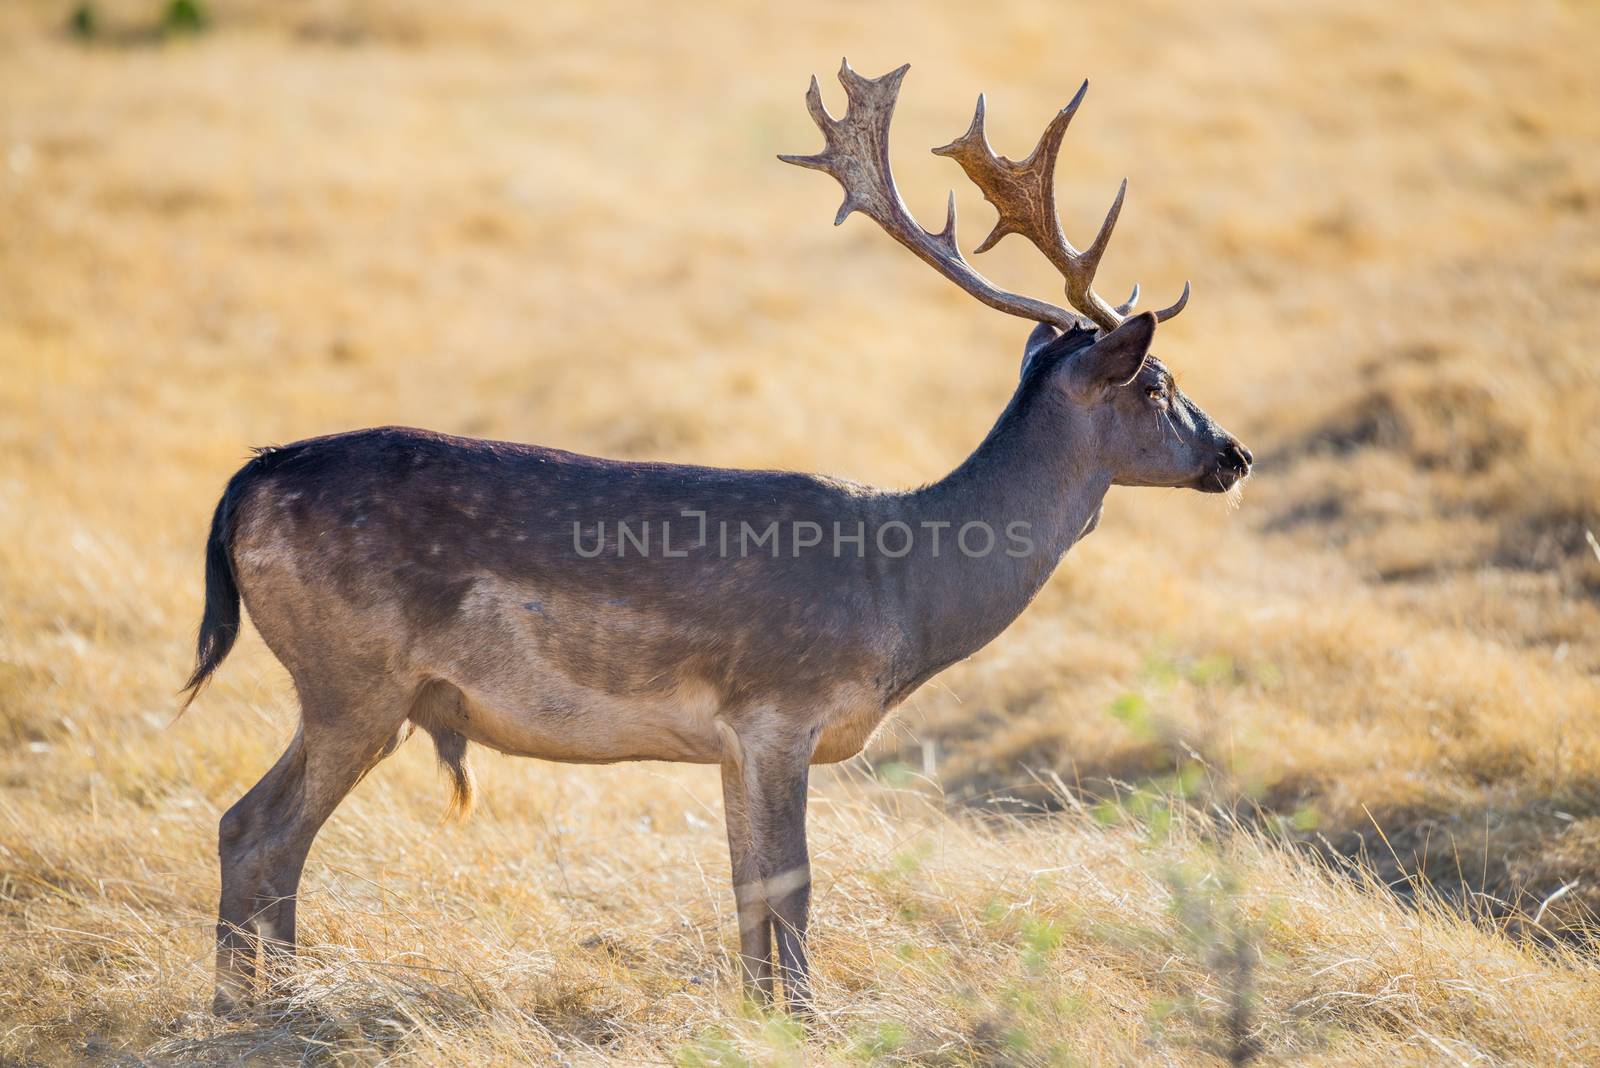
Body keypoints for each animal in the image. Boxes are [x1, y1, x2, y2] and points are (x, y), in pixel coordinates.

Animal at [184, 62, 1248, 1016]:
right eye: (1158, 382)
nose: (1233, 454)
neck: (905, 585)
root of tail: (245, 483)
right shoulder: (780, 706)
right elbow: (793, 885)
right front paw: (813, 1024)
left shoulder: (733, 742)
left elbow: (745, 890)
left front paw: (759, 1015)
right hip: (353, 674)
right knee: (258, 827)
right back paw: (259, 1009)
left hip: (356, 686)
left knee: (253, 827)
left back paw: (261, 997)